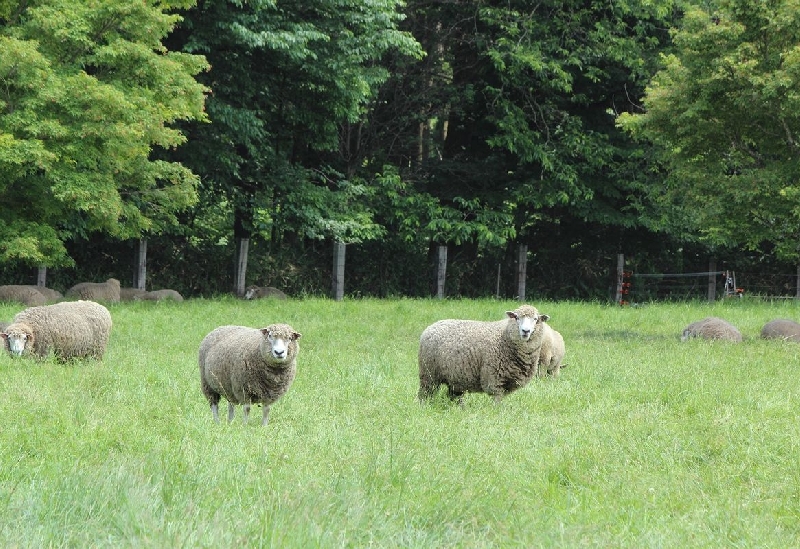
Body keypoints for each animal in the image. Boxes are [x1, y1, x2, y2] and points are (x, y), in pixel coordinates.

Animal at [418, 304, 552, 402]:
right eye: (516, 317)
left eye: (535, 319)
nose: (525, 331)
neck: (504, 337)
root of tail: (430, 327)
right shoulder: (494, 378)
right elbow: (497, 401)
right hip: (428, 373)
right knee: (425, 393)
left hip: (455, 375)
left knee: (454, 395)